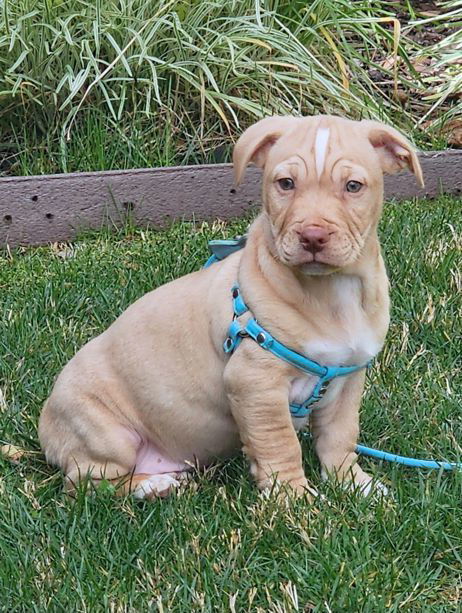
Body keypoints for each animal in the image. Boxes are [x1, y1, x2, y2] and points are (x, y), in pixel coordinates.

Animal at [38, 115, 424, 498]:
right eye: (285, 184)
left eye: (353, 186)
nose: (312, 237)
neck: (331, 292)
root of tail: (46, 424)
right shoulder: (256, 383)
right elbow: (280, 445)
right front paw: (294, 500)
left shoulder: (348, 379)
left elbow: (339, 437)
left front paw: (353, 484)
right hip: (106, 434)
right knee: (89, 483)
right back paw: (152, 486)